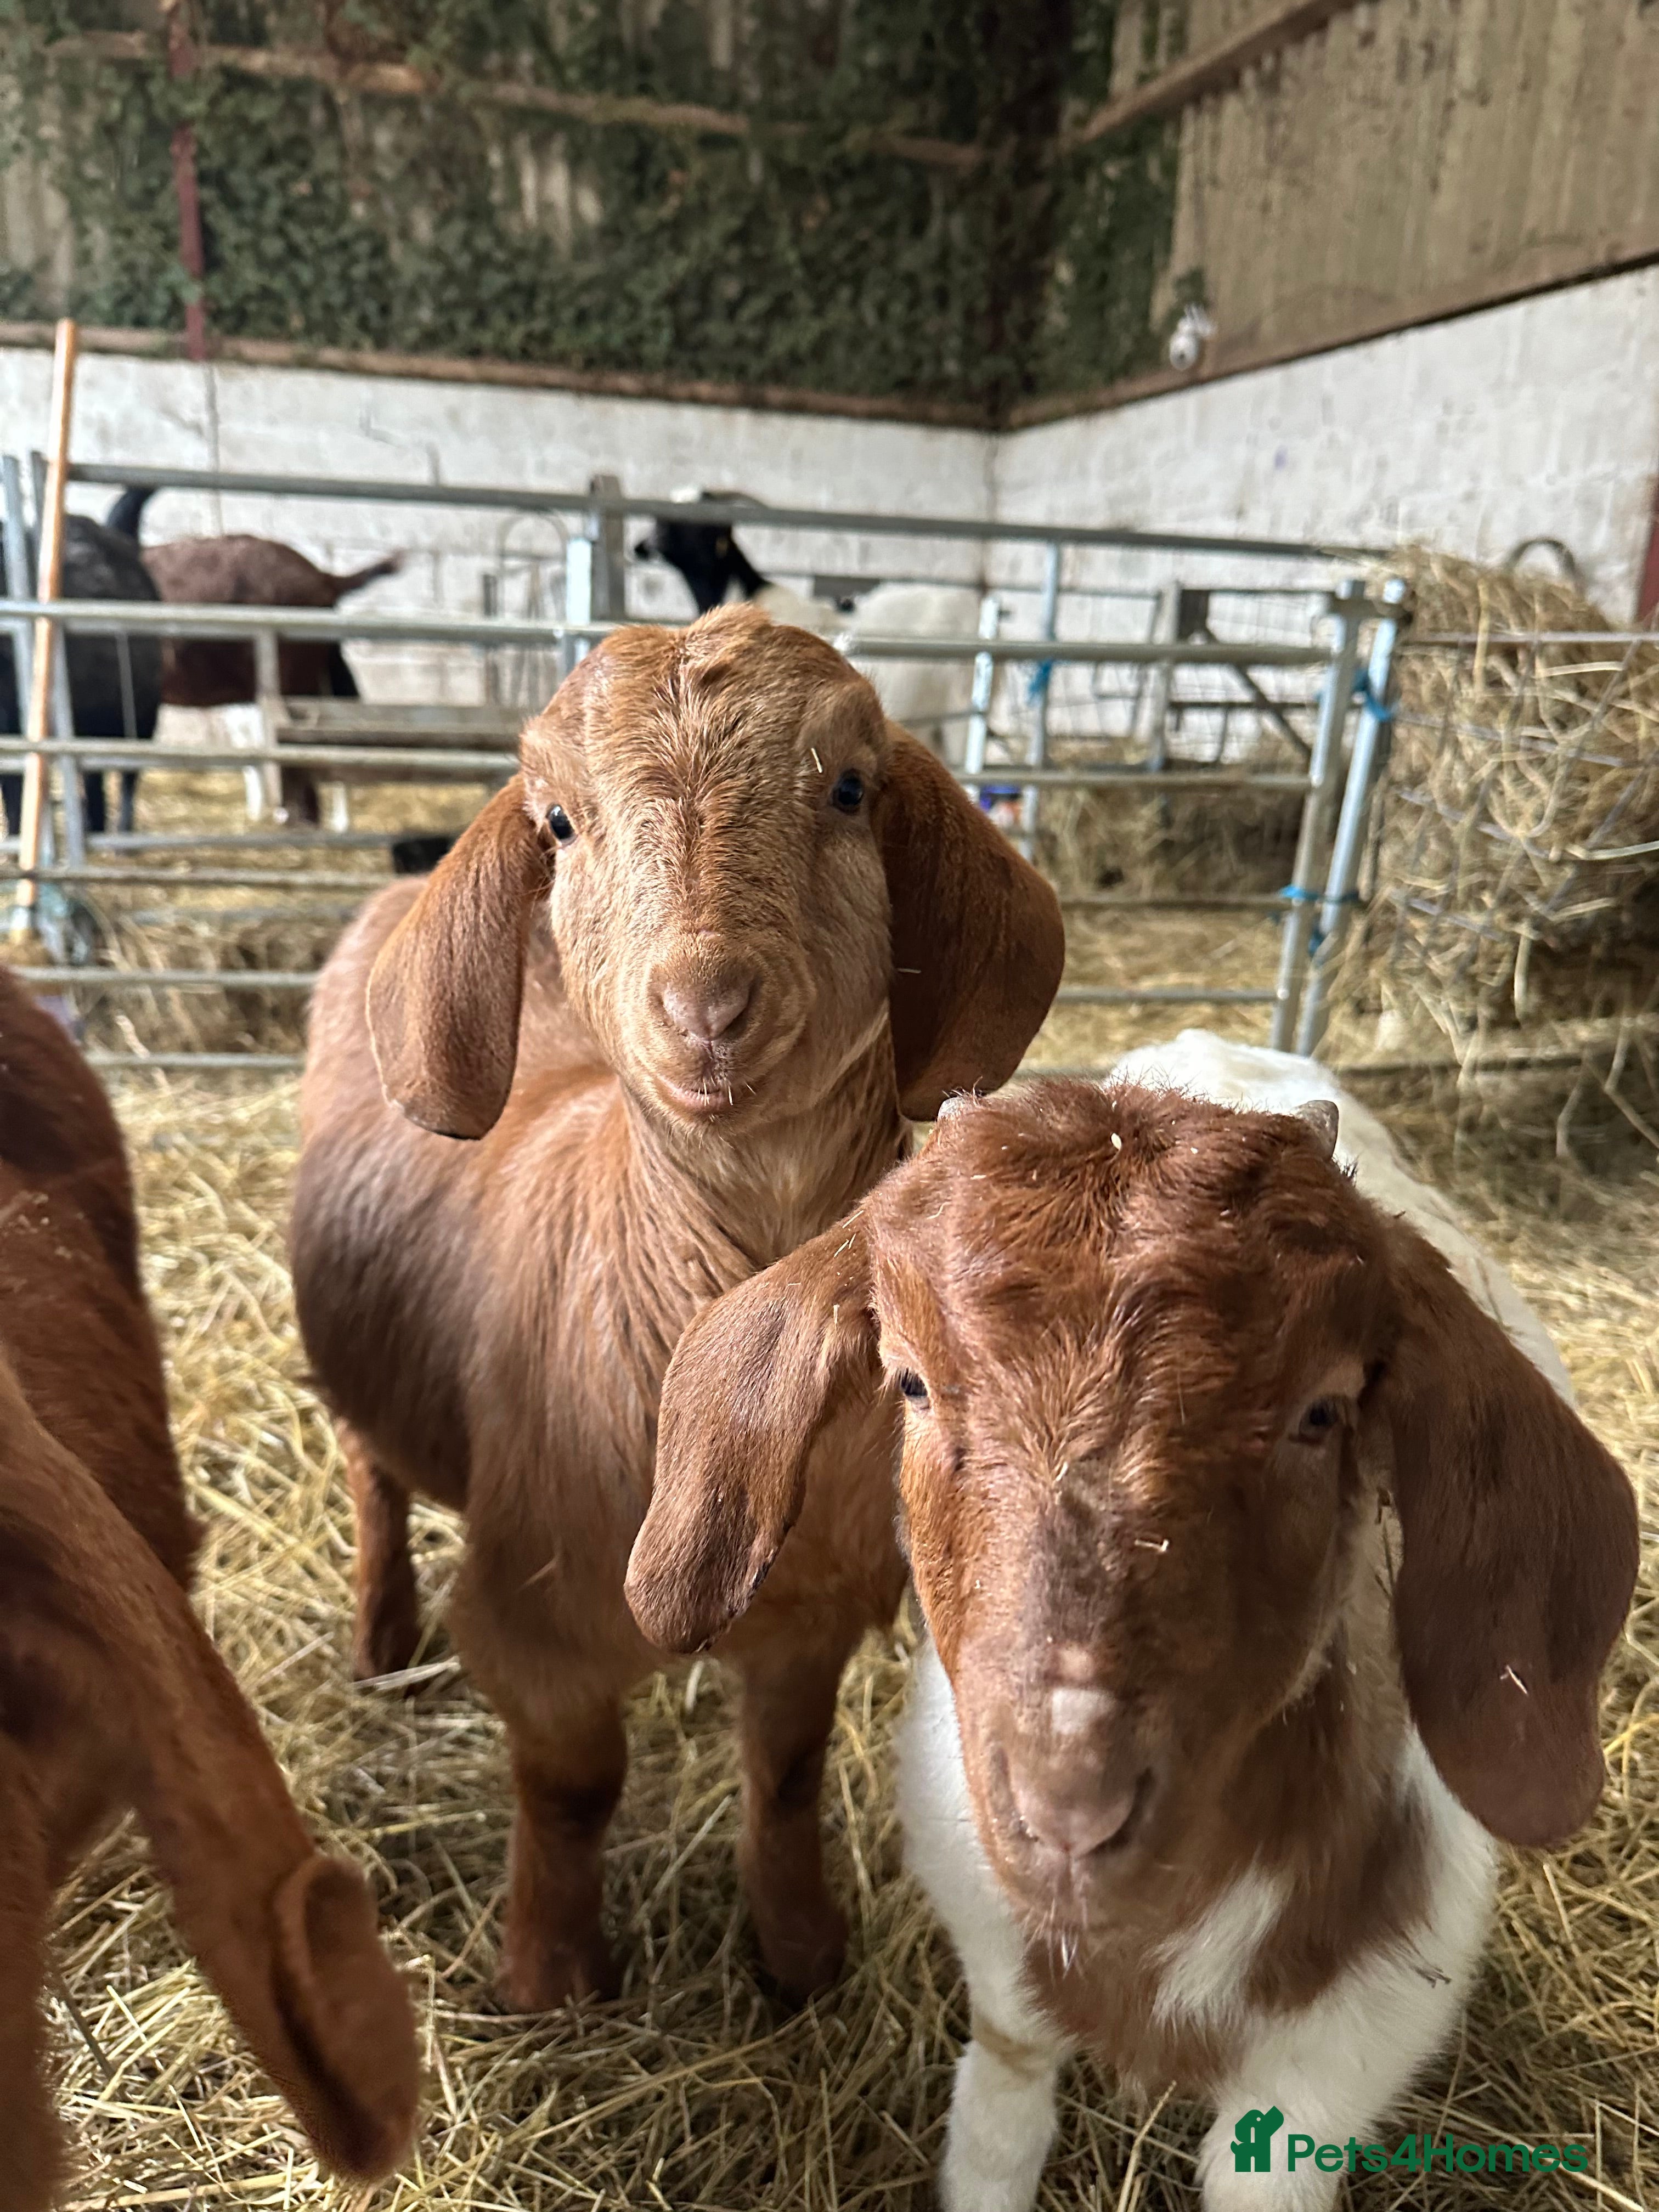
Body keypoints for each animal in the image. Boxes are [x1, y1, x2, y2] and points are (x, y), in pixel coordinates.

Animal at [289, 604, 1064, 2011]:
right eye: (557, 819)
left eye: (851, 788)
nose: (706, 1007)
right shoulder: (535, 1622)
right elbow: (575, 1787)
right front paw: (553, 1975)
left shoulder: (820, 1615)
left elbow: (790, 1772)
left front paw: (802, 1952)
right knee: (371, 1466)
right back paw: (381, 1634)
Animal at [628, 1030, 1639, 2212]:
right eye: (911, 1382)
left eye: (1323, 1410)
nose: (1070, 1806)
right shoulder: (997, 1956)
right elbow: (1000, 2125)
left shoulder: (1339, 2062)